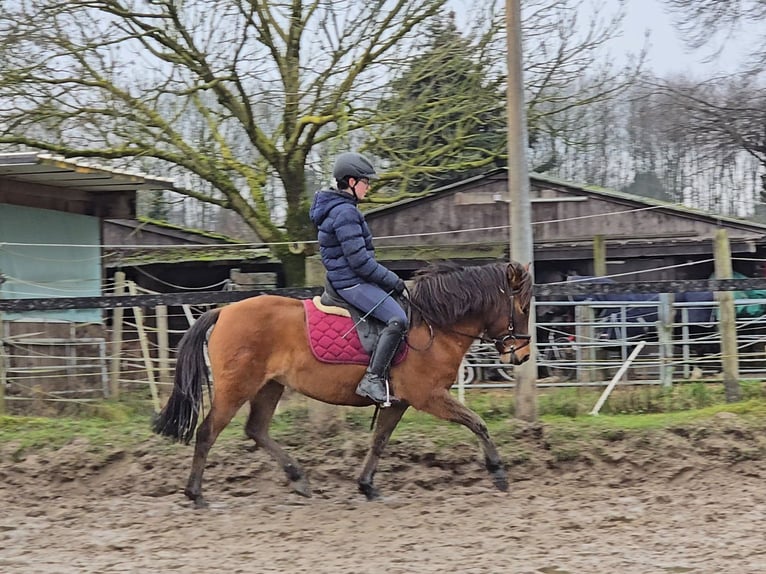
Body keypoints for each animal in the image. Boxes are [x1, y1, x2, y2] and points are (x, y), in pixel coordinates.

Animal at [152, 260, 536, 508]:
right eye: (522, 307)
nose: (522, 355)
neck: (433, 326)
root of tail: (223, 311)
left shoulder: (398, 401)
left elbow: (379, 442)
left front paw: (367, 487)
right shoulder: (429, 396)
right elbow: (478, 423)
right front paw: (498, 474)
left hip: (269, 387)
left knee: (256, 430)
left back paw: (298, 479)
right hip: (236, 388)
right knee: (207, 432)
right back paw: (196, 494)